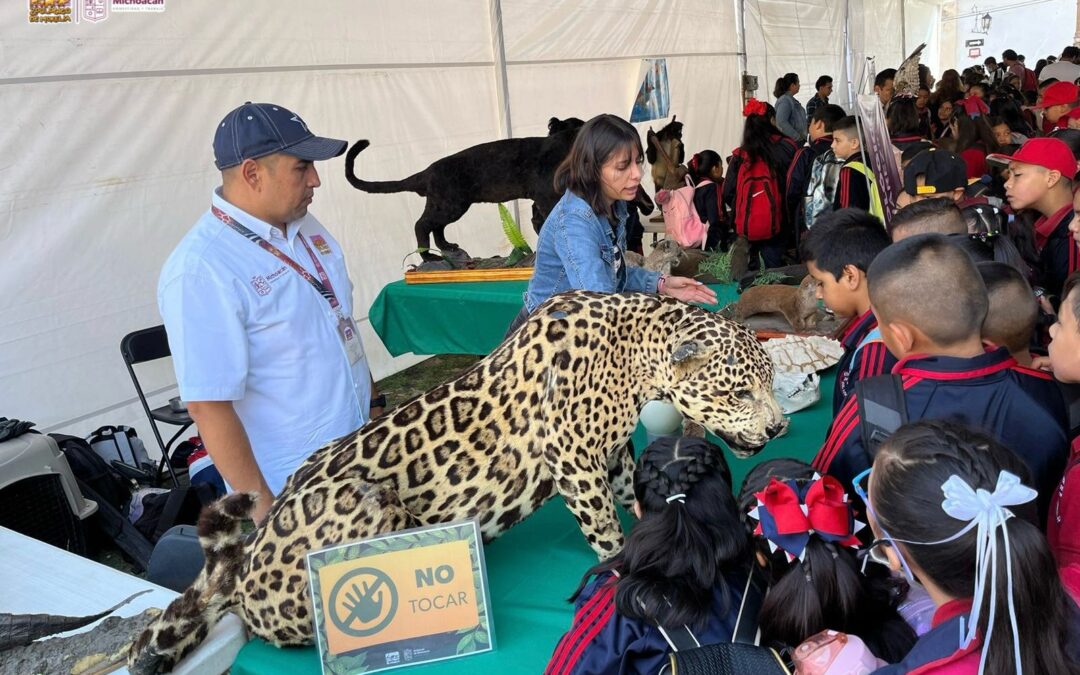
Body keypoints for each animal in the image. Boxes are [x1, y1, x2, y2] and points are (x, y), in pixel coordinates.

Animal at [345, 118, 652, 260]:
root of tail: (428, 171)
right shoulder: (546, 197)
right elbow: (547, 221)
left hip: (449, 205)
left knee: (436, 227)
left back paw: (449, 249)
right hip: (450, 204)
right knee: (422, 224)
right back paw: (429, 256)